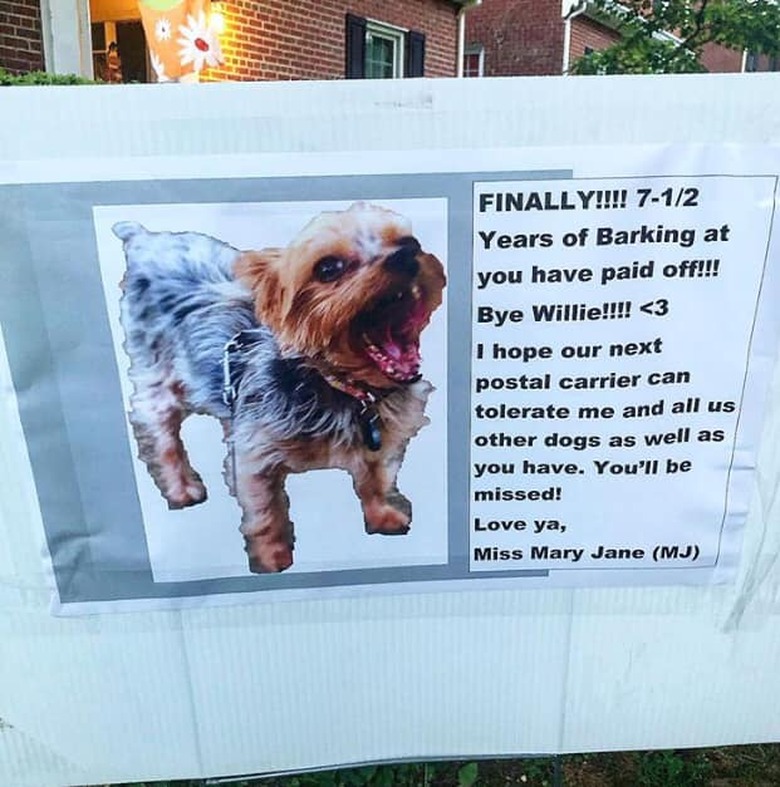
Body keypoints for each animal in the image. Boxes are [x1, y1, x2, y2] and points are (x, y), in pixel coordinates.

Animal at [114, 203, 444, 572]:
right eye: (328, 267)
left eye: (411, 241)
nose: (406, 255)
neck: (338, 386)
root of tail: (144, 239)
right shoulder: (255, 455)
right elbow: (265, 510)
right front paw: (273, 559)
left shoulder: (381, 437)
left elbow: (376, 478)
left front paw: (383, 514)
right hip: (156, 369)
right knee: (159, 428)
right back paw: (181, 487)